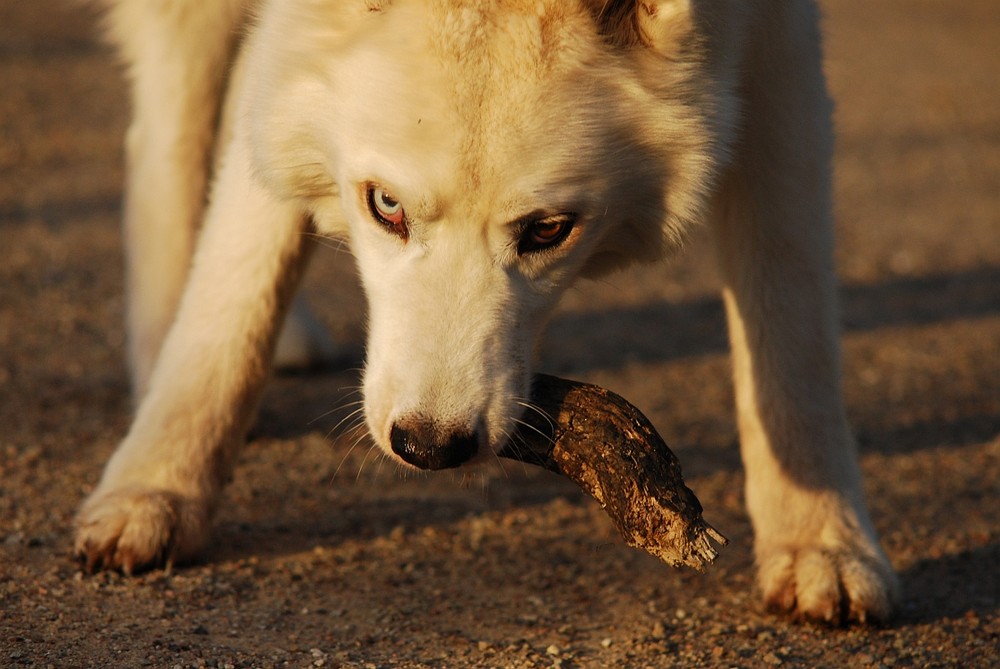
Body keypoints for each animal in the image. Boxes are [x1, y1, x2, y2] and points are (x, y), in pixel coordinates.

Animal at [76, 0, 900, 620]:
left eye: (548, 230)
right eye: (385, 205)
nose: (430, 445)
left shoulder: (778, 40)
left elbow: (791, 318)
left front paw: (822, 539)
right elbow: (236, 287)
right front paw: (157, 487)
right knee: (171, 135)